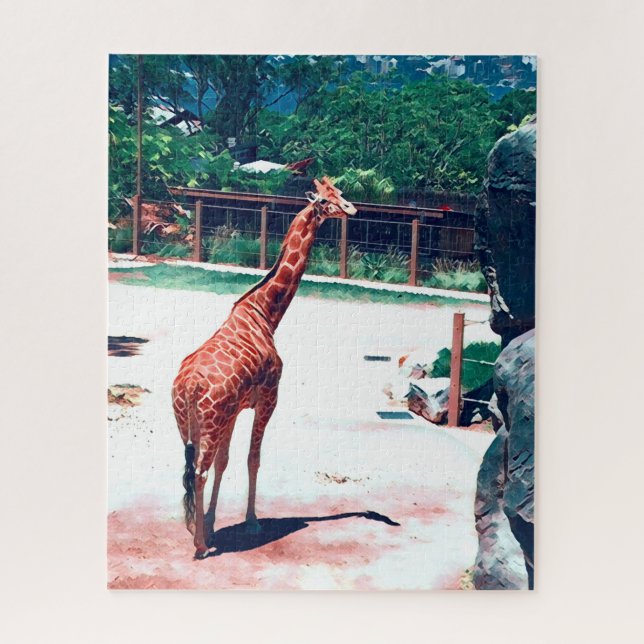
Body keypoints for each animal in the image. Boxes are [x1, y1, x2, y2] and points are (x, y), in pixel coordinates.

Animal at [172, 177, 357, 558]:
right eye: (326, 200)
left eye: (340, 193)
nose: (352, 209)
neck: (265, 314)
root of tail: (188, 385)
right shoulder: (269, 398)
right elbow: (252, 458)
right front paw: (252, 521)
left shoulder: (233, 411)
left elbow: (226, 461)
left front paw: (210, 520)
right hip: (209, 422)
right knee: (198, 471)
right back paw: (200, 545)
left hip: (188, 424)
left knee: (191, 468)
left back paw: (194, 529)